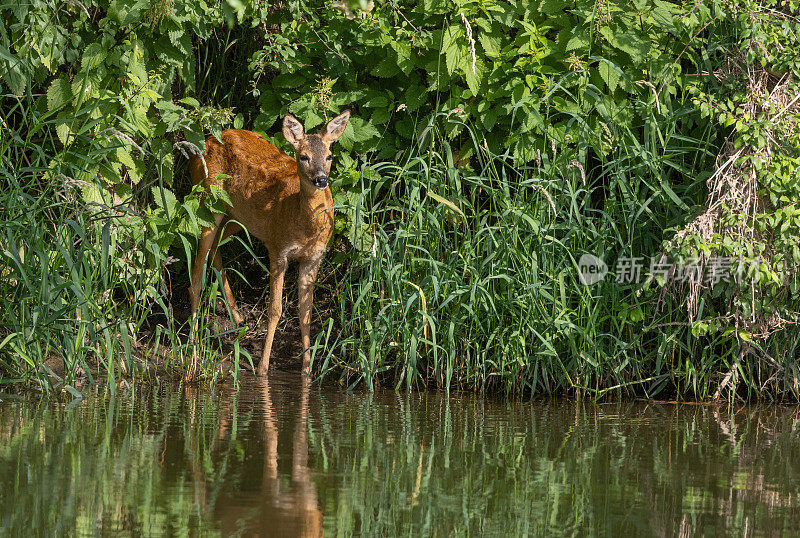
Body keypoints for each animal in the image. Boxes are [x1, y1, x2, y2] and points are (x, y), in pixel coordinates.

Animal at [189, 111, 352, 374]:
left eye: (329, 155)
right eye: (303, 156)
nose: (321, 179)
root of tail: (210, 139)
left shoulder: (314, 257)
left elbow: (306, 312)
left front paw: (307, 369)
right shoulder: (278, 250)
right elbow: (275, 309)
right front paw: (263, 368)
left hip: (238, 216)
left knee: (217, 246)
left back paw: (238, 317)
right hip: (208, 198)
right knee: (197, 272)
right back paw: (193, 343)